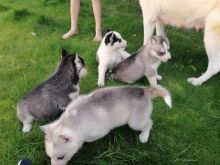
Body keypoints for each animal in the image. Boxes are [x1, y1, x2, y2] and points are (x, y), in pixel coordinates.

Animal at [40, 85, 172, 165]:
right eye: (49, 157)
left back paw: (144, 136)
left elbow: (85, 139)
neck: (72, 121)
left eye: (61, 157)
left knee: (149, 123)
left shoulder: (99, 131)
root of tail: (144, 91)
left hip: (135, 122)